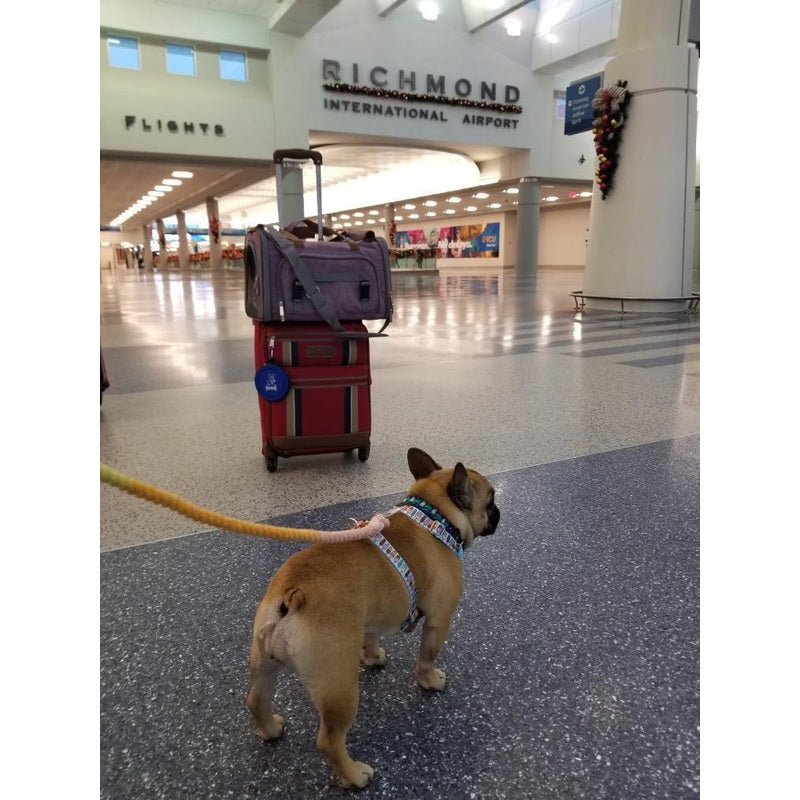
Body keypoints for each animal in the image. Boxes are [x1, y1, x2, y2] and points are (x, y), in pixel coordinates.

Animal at [246, 447, 500, 788]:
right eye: (491, 499)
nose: (499, 514)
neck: (434, 514)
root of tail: (291, 593)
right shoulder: (439, 620)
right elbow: (426, 657)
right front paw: (430, 681)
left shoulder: (370, 617)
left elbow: (370, 638)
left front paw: (373, 658)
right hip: (339, 687)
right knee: (328, 740)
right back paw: (355, 775)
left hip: (264, 662)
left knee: (255, 701)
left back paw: (271, 729)